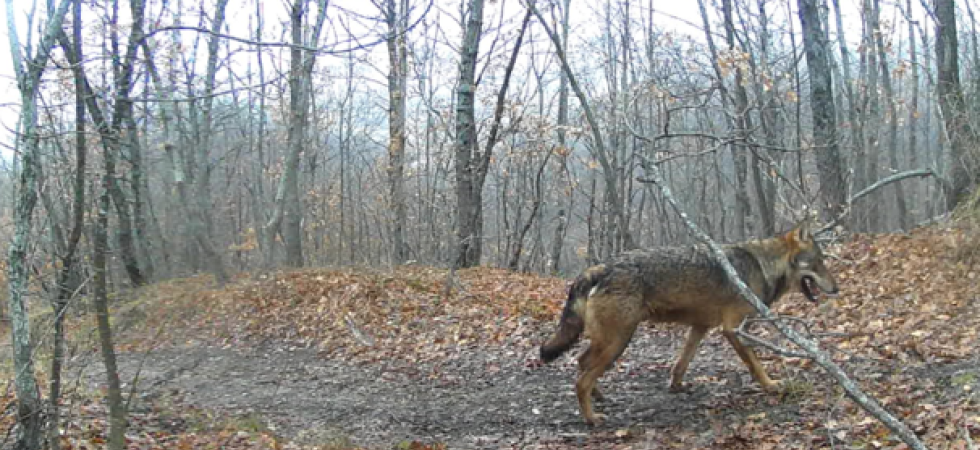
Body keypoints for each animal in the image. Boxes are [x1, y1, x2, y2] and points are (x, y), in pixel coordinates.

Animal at [539, 222, 839, 425]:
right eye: (819, 262)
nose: (836, 289)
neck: (763, 265)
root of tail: (598, 268)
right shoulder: (733, 329)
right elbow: (755, 364)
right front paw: (770, 385)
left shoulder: (701, 327)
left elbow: (682, 363)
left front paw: (676, 387)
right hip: (618, 342)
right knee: (581, 380)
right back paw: (591, 418)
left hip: (610, 342)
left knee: (581, 362)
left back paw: (599, 397)